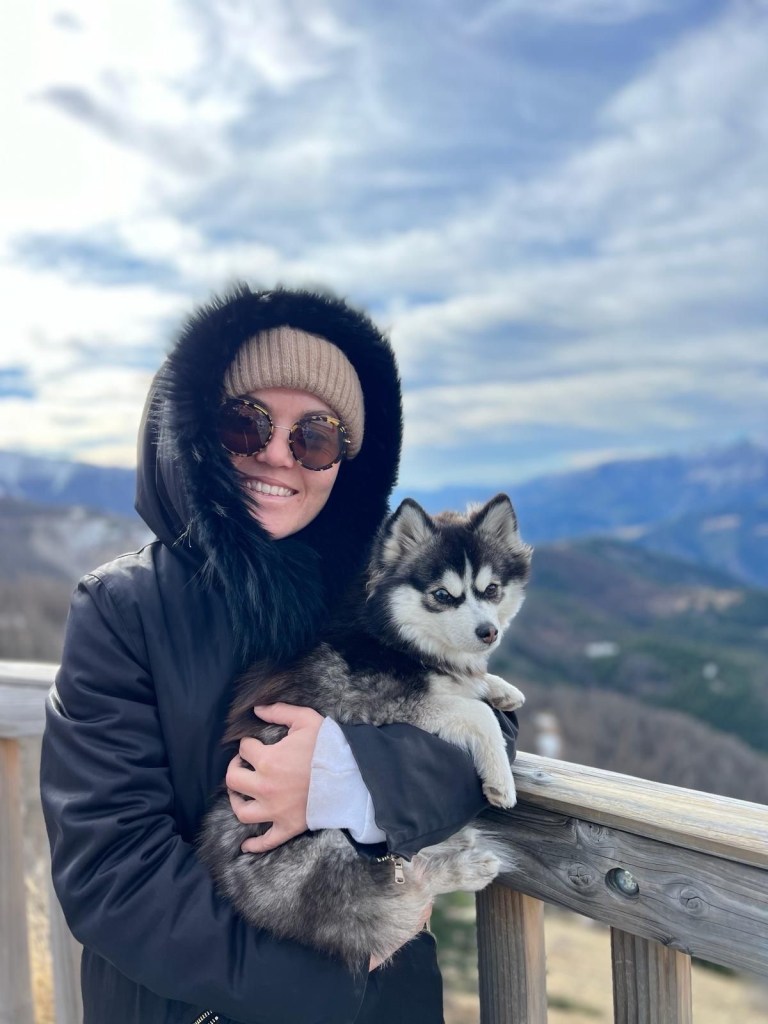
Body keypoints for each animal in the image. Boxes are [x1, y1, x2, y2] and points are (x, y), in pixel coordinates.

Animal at [198, 493, 532, 968]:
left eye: (491, 590)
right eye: (443, 596)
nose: (489, 632)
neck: (394, 635)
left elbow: (469, 683)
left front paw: (500, 688)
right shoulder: (386, 704)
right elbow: (476, 713)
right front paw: (500, 779)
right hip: (320, 849)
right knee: (403, 885)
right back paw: (460, 868)